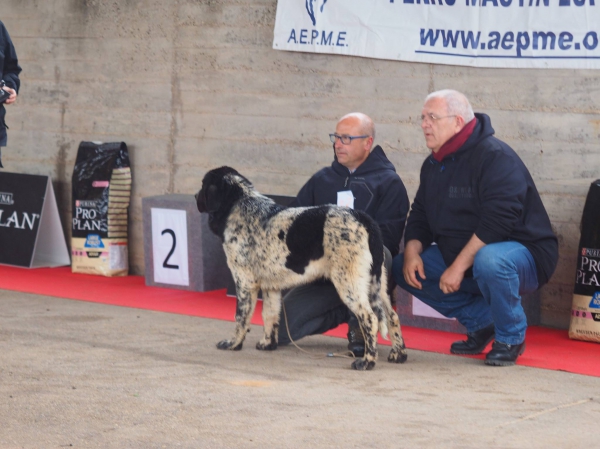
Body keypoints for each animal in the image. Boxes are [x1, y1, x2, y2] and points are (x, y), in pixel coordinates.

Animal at [197, 166, 408, 370]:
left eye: (203, 185)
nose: (195, 197)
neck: (241, 205)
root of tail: (362, 217)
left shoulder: (244, 282)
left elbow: (241, 317)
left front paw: (233, 343)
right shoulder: (270, 286)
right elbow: (270, 315)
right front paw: (267, 344)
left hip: (350, 283)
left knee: (370, 319)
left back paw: (367, 361)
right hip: (376, 285)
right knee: (392, 316)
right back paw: (398, 354)